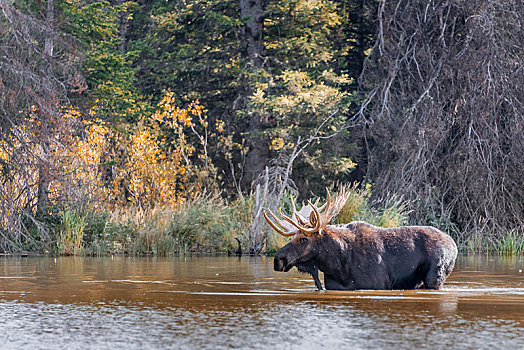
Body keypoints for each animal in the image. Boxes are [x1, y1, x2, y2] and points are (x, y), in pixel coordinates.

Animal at [264, 187, 456, 292]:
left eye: (303, 239)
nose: (278, 260)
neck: (336, 265)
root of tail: (454, 244)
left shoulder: (378, 284)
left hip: (434, 277)